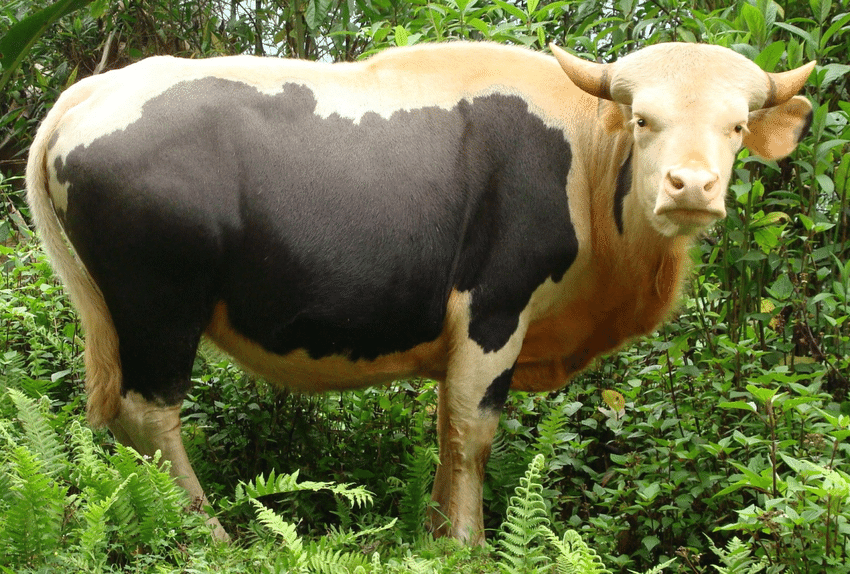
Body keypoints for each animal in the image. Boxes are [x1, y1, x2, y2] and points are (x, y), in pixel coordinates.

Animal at [25, 40, 814, 545]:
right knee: (150, 414)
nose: (691, 187)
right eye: (644, 119)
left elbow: (445, 429)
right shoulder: (495, 313)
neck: (588, 155)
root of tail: (97, 89)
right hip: (160, 303)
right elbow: (473, 431)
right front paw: (468, 544)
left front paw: (436, 536)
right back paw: (206, 534)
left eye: (735, 126)